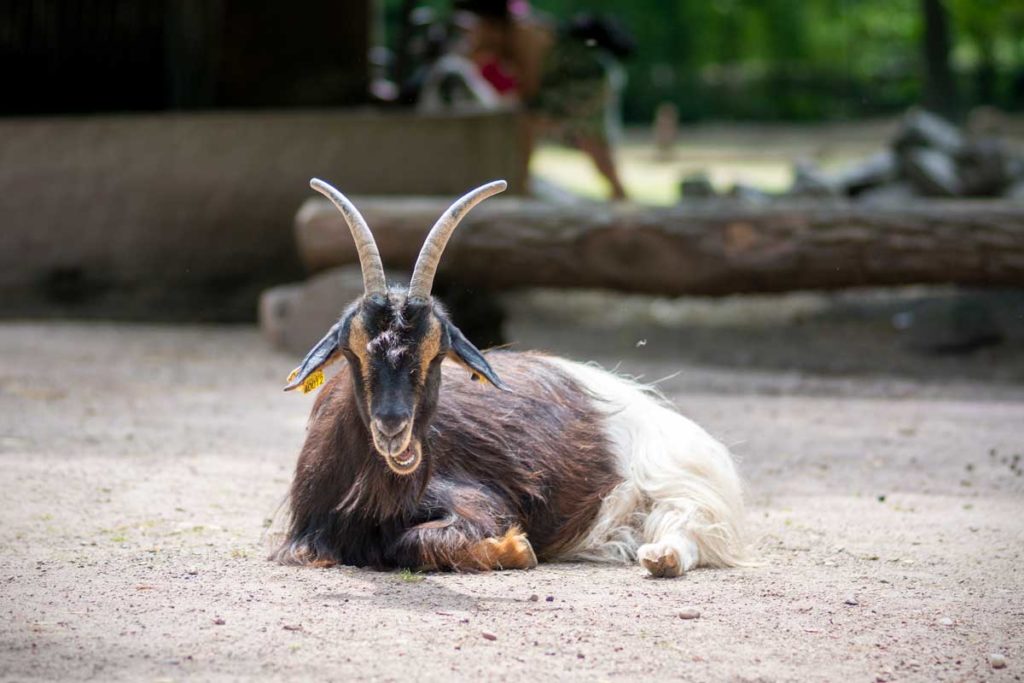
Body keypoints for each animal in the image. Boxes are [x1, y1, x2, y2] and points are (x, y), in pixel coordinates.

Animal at [272, 178, 745, 577]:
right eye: (353, 352)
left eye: (437, 355)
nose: (392, 429)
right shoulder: (307, 541)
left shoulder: (479, 502)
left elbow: (412, 542)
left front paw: (516, 549)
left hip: (668, 472)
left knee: (689, 519)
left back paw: (663, 557)